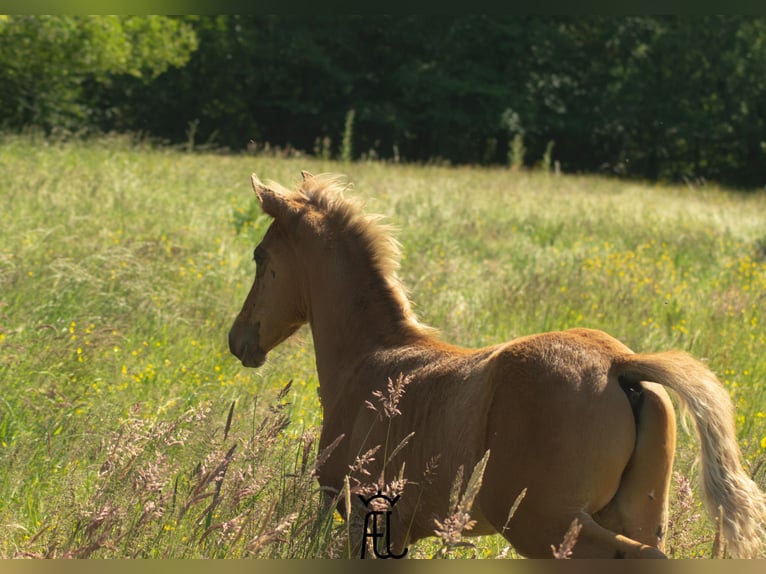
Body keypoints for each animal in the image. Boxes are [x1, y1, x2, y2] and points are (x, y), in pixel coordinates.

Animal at [230, 173, 766, 560]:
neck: (372, 360)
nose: (238, 339)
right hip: (637, 516)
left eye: (259, 255)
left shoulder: (364, 516)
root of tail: (621, 363)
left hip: (547, 526)